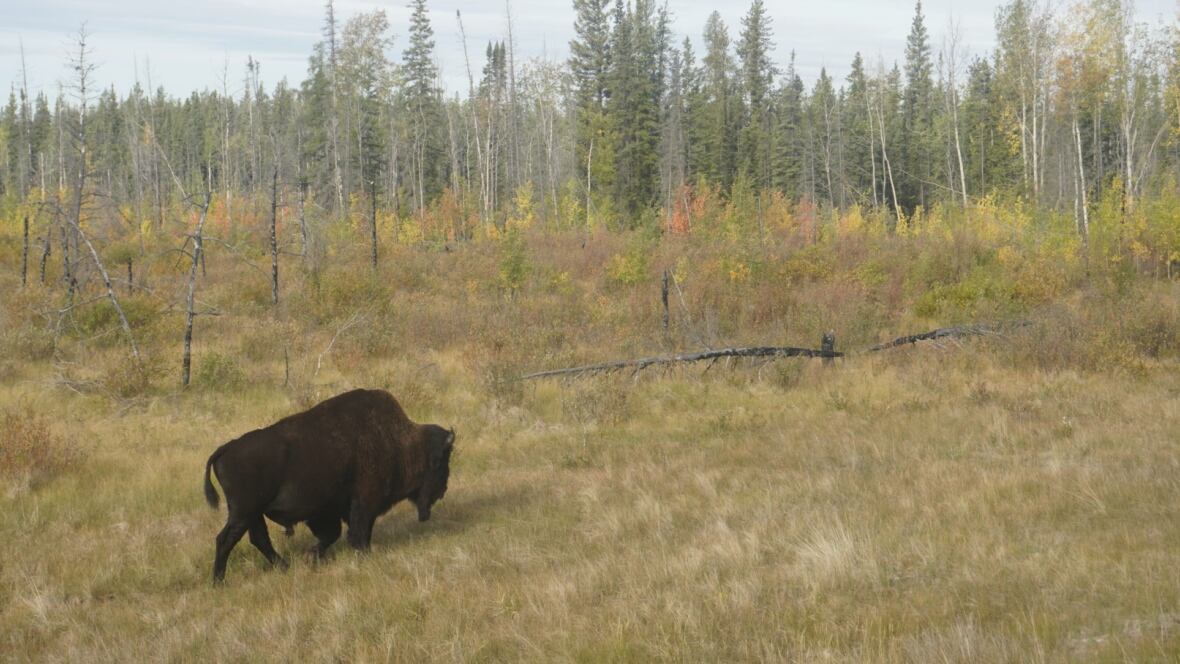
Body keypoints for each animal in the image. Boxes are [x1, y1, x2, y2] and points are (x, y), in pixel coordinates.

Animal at [202, 389, 454, 583]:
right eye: (442, 461)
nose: (443, 490)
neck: (400, 442)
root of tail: (226, 448)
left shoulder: (328, 512)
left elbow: (334, 534)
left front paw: (311, 557)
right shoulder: (363, 503)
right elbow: (358, 533)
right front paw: (362, 555)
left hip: (252, 514)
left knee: (258, 539)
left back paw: (283, 567)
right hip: (243, 512)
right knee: (226, 539)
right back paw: (219, 581)